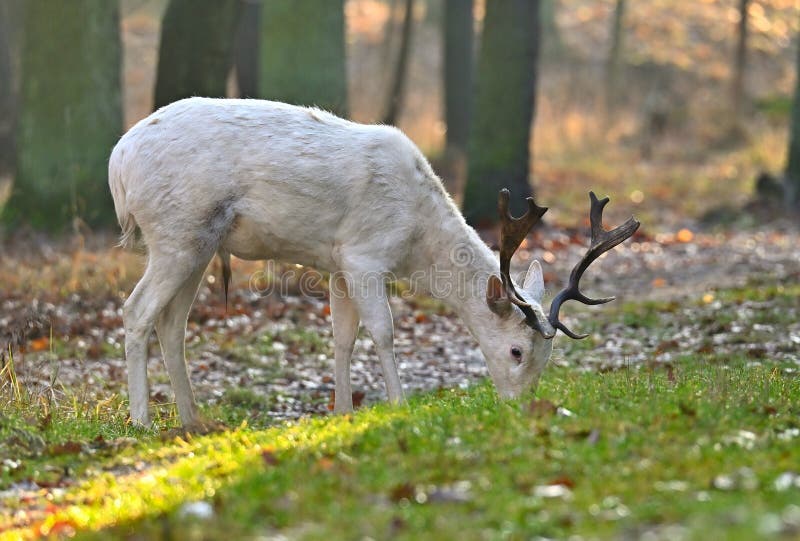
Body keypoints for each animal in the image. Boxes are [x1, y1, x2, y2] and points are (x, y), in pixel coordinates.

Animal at [108, 97, 639, 429]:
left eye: (548, 357)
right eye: (515, 351)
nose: (520, 405)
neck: (415, 243)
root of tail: (118, 162)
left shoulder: (337, 263)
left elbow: (343, 337)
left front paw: (342, 412)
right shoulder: (364, 254)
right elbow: (382, 331)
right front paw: (398, 405)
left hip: (197, 242)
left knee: (171, 323)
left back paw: (192, 419)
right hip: (176, 229)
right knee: (136, 310)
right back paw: (141, 419)